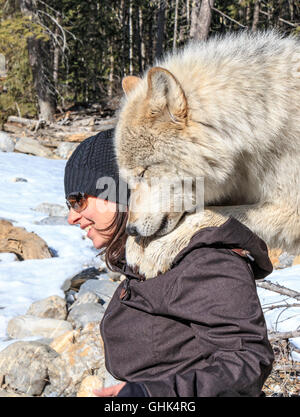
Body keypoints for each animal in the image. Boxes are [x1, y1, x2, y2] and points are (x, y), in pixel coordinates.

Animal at [113, 30, 300, 274]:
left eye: (143, 172)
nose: (131, 230)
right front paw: (136, 245)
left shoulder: (291, 210)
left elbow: (205, 215)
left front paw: (156, 249)